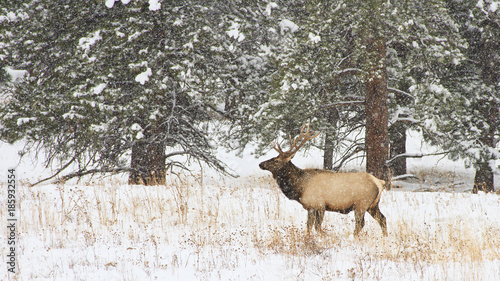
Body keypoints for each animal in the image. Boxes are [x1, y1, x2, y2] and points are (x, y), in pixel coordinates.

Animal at [260, 123, 388, 235]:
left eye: (276, 161)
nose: (261, 164)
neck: (300, 188)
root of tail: (379, 182)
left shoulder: (319, 205)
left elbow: (317, 227)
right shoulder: (310, 207)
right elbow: (309, 226)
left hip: (361, 204)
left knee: (360, 224)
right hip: (373, 205)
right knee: (383, 219)